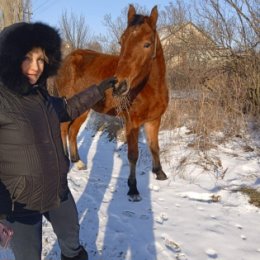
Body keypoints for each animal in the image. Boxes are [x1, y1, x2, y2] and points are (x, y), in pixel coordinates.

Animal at [54, 5, 169, 202]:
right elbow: (133, 155)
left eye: (147, 44)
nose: (119, 85)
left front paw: (159, 173)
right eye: (121, 41)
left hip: (83, 110)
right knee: (63, 128)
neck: (149, 87)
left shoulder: (154, 120)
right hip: (67, 104)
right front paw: (133, 189)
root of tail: (68, 59)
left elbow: (155, 147)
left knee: (72, 131)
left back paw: (78, 162)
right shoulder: (132, 122)